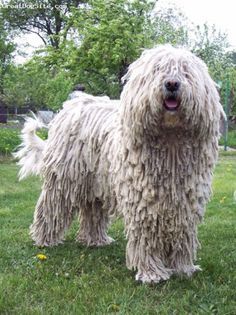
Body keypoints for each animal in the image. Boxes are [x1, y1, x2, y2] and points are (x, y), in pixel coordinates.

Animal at [14, 44, 225, 284]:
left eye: (185, 72)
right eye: (158, 70)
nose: (172, 83)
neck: (170, 140)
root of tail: (71, 106)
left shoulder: (185, 200)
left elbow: (182, 233)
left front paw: (183, 268)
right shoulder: (143, 199)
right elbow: (146, 235)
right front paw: (152, 273)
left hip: (95, 181)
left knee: (92, 210)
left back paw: (95, 240)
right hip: (64, 178)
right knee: (51, 207)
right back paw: (44, 240)